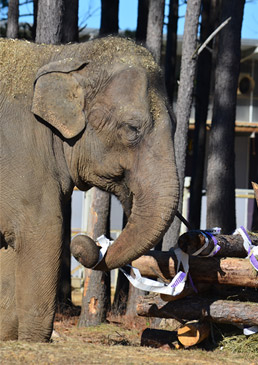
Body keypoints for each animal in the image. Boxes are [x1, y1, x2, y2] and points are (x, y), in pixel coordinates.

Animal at [0, 35, 177, 340]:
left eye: (177, 125)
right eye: (132, 129)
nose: (88, 241)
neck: (66, 55)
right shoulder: (23, 156)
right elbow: (43, 232)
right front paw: (32, 340)